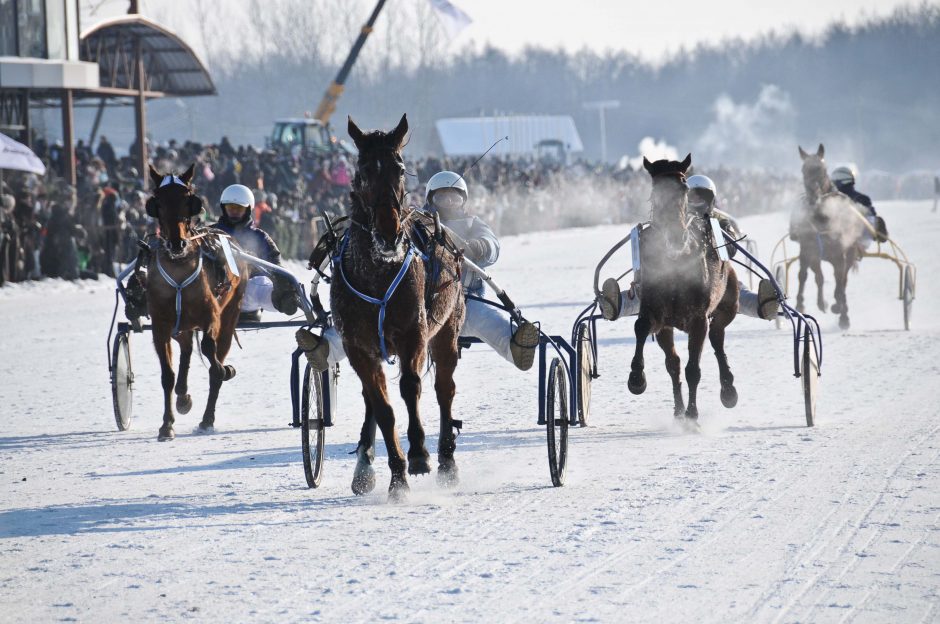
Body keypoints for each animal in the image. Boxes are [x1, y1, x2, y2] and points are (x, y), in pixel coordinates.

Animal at [143, 165, 246, 438]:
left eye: (188, 200)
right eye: (158, 202)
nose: (177, 243)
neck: (179, 268)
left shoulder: (212, 317)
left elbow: (212, 356)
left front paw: (224, 370)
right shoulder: (161, 325)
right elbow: (167, 375)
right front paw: (166, 425)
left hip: (231, 314)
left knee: (214, 351)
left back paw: (207, 417)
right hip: (182, 326)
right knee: (187, 350)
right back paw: (182, 396)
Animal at [334, 113, 466, 502]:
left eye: (400, 167)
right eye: (362, 169)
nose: (389, 234)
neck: (377, 274)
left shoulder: (413, 331)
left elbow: (411, 386)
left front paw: (420, 454)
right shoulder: (357, 346)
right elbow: (382, 408)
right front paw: (397, 479)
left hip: (448, 327)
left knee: (444, 389)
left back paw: (446, 461)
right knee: (372, 400)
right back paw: (364, 467)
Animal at [628, 154, 740, 422]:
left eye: (684, 187)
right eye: (656, 191)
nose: (676, 237)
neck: (674, 259)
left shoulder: (698, 318)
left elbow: (694, 369)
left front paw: (692, 414)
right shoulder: (655, 312)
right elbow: (641, 327)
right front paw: (636, 378)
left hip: (728, 302)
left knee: (717, 338)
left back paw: (728, 389)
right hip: (668, 327)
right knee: (673, 363)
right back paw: (678, 409)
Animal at [792, 144, 868, 330]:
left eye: (822, 169)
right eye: (803, 170)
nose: (813, 197)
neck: (822, 219)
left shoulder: (840, 256)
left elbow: (840, 284)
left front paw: (841, 311)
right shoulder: (811, 251)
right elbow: (816, 277)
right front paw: (822, 303)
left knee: (842, 281)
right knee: (805, 275)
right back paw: (805, 303)